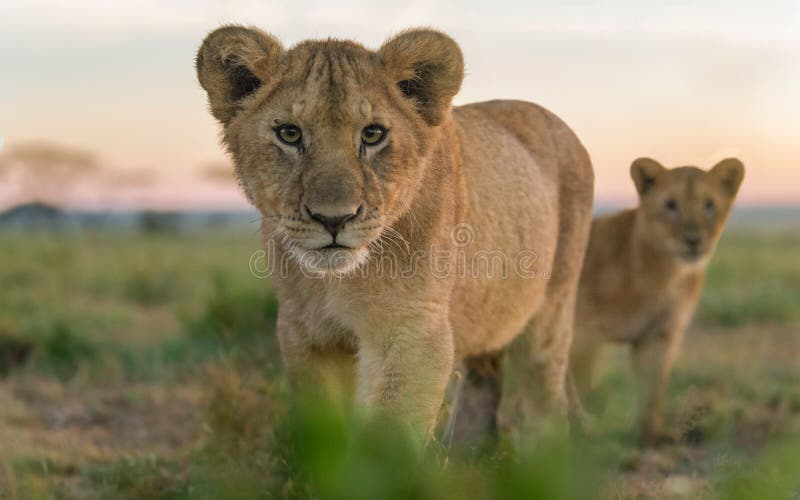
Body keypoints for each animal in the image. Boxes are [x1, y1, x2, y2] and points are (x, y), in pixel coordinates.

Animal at [196, 26, 594, 445]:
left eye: (373, 135)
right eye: (289, 134)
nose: (333, 218)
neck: (339, 280)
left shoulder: (413, 331)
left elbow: (390, 435)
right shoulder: (304, 332)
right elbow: (324, 429)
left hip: (551, 310)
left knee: (546, 395)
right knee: (485, 375)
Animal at [569, 157, 745, 444]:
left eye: (709, 205)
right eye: (670, 205)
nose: (693, 239)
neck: (666, 274)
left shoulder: (659, 334)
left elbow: (652, 390)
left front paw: (651, 436)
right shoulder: (584, 333)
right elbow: (578, 382)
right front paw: (573, 437)